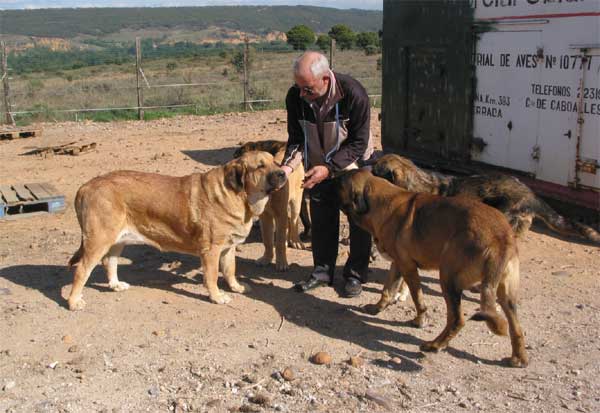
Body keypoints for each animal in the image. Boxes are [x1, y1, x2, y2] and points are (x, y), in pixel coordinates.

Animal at [67, 151, 288, 308]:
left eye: (276, 163)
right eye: (260, 166)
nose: (283, 173)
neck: (238, 195)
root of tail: (85, 187)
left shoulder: (228, 247)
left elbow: (229, 270)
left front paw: (236, 287)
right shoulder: (211, 250)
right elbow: (212, 276)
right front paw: (217, 296)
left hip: (117, 240)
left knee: (109, 262)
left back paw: (115, 285)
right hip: (98, 240)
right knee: (82, 270)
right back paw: (73, 302)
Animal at [233, 140, 308, 270]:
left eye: (273, 163)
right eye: (260, 166)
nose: (282, 174)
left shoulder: (280, 214)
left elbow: (279, 242)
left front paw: (282, 263)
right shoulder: (265, 217)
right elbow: (267, 240)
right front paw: (266, 259)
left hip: (296, 202)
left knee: (294, 221)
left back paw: (295, 241)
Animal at [340, 169, 528, 366]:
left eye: (339, 182)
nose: (333, 174)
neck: (382, 203)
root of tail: (501, 238)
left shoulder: (408, 268)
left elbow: (418, 299)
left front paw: (419, 320)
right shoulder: (397, 264)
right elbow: (387, 290)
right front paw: (377, 308)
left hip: (447, 279)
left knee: (457, 320)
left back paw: (435, 345)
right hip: (506, 295)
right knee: (516, 328)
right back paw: (519, 358)